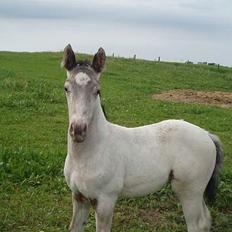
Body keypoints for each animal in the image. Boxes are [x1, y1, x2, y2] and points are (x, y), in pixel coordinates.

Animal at [61, 44, 223, 231]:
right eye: (66, 88)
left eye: (97, 90)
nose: (78, 130)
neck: (89, 154)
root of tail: (207, 135)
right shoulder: (79, 197)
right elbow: (74, 227)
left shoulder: (105, 201)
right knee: (206, 220)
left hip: (190, 192)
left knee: (197, 224)